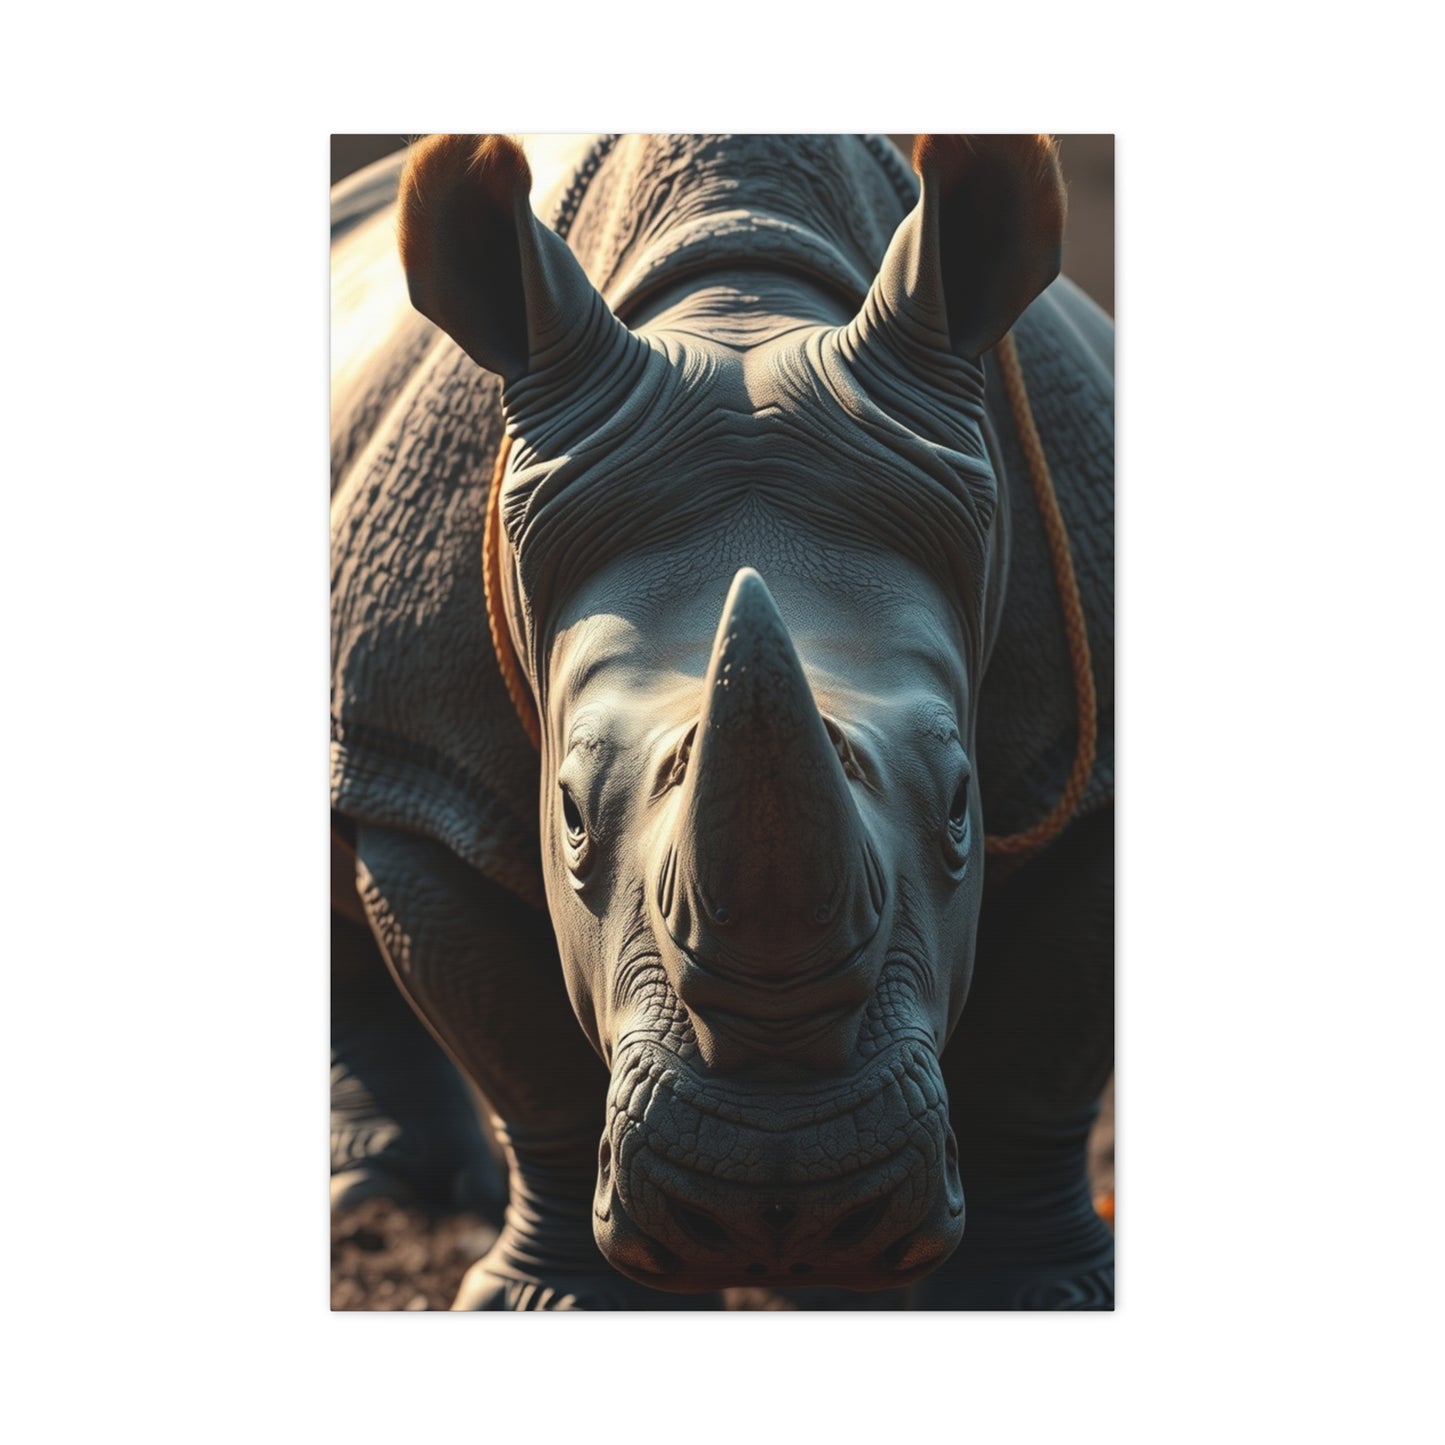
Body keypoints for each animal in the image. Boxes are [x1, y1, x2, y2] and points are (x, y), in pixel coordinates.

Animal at [330, 133, 1114, 1309]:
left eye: (961, 805)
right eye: (568, 811)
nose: (779, 1209)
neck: (740, 309)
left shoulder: (1082, 754)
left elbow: (1045, 1044)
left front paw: (1039, 1298)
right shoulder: (419, 761)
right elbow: (525, 1057)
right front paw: (554, 1303)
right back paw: (377, 1199)